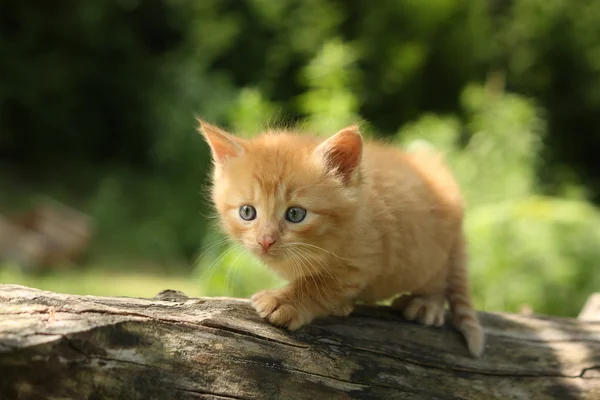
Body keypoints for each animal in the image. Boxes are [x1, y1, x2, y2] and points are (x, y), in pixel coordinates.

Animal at [199, 119, 486, 356]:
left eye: (295, 214)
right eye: (247, 212)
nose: (265, 241)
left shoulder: (366, 256)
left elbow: (322, 283)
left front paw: (284, 301)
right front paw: (340, 305)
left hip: (428, 253)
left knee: (439, 276)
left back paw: (427, 303)